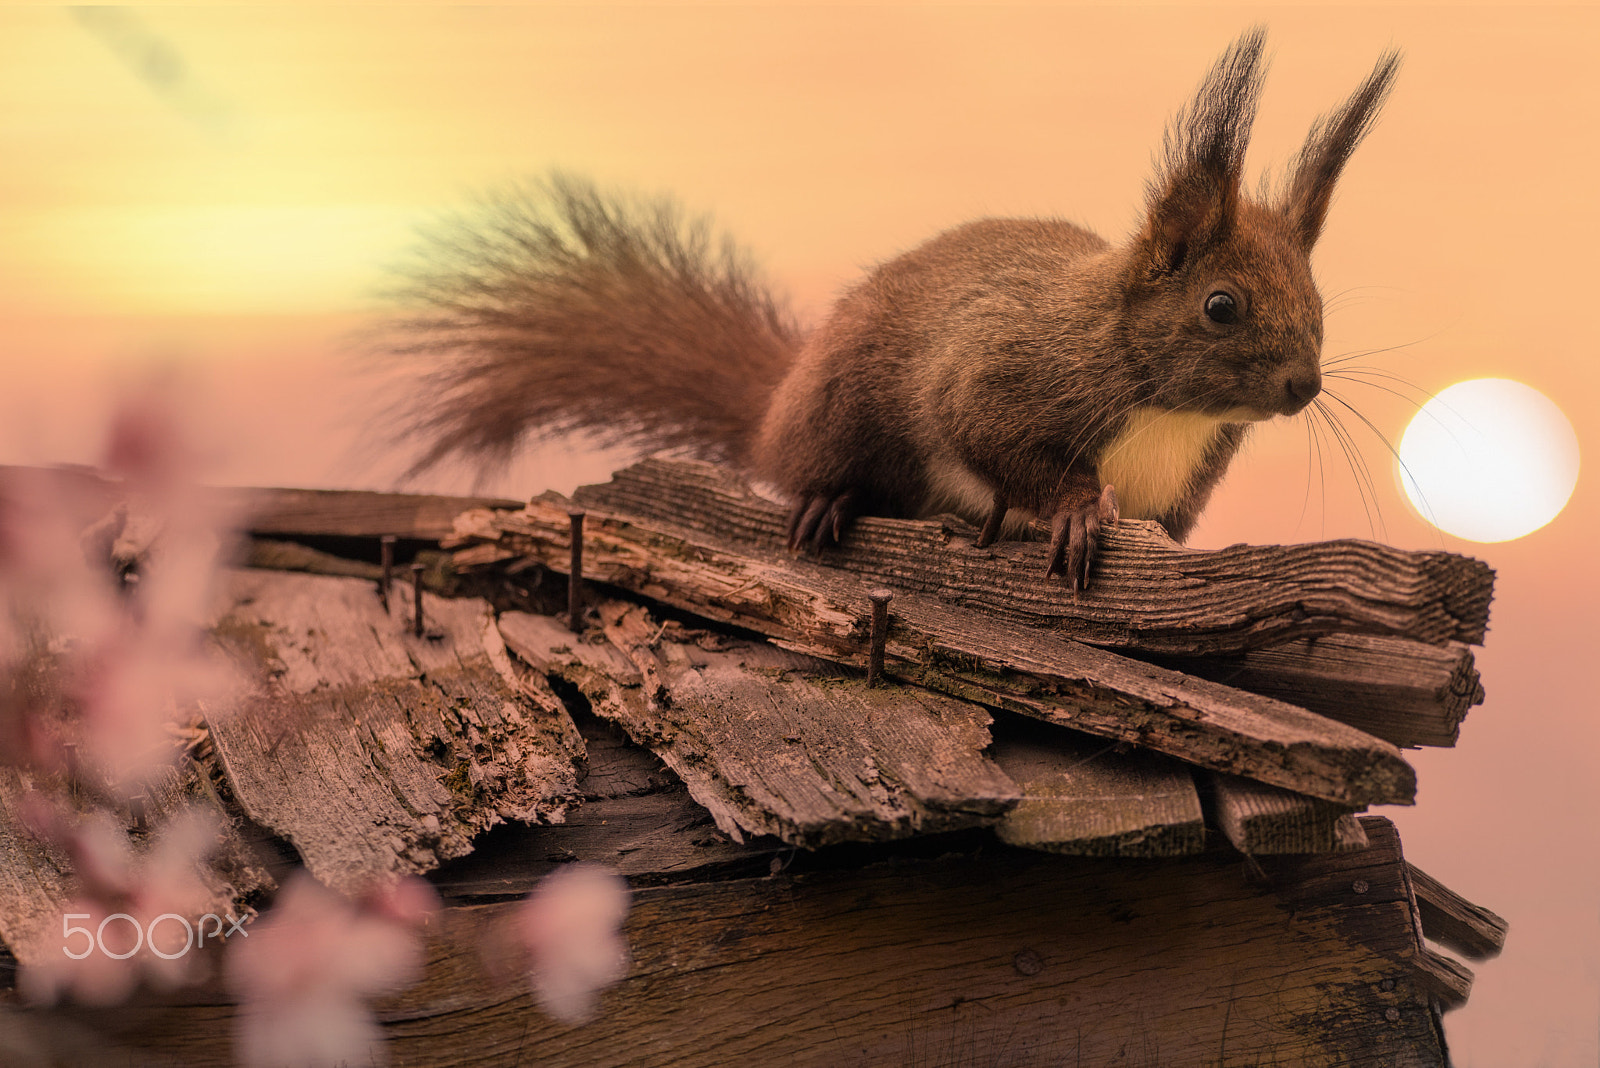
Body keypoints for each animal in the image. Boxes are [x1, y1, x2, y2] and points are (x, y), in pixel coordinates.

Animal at [381, 29, 1399, 591]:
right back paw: (831, 499)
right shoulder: (1007, 370)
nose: (1304, 387)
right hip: (838, 410)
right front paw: (1074, 511)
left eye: (1317, 302)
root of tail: (775, 406)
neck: (1160, 406)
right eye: (1221, 305)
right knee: (819, 469)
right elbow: (989, 432)